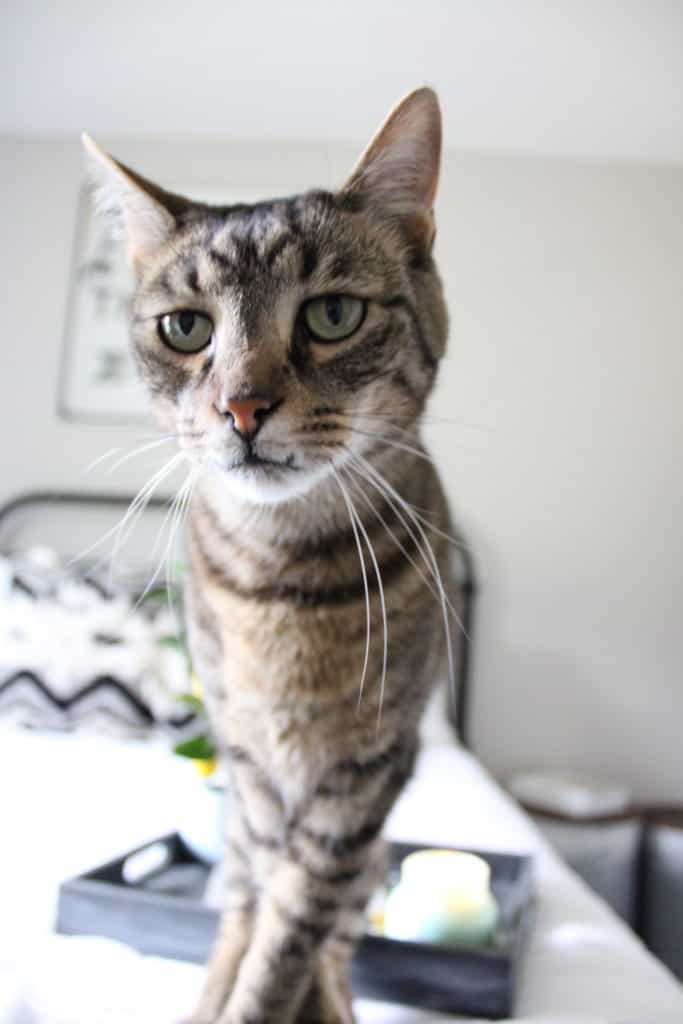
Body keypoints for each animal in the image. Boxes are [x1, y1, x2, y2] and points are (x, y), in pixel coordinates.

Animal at [87, 86, 458, 1024]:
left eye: (332, 314)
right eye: (185, 328)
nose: (241, 406)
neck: (279, 580)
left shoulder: (364, 773)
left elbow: (296, 929)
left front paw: (279, 995)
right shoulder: (248, 758)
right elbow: (259, 902)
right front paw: (226, 990)